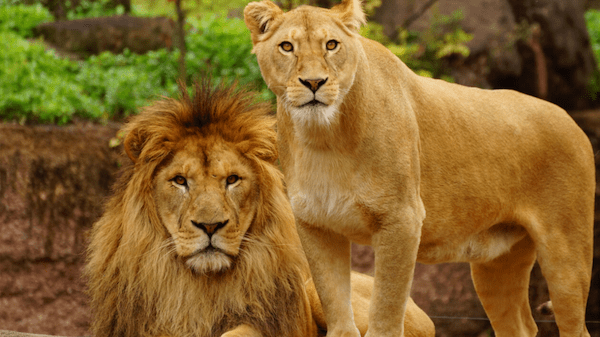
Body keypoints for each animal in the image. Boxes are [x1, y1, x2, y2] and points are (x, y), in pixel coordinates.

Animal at [243, 0, 596, 336]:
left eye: (331, 45)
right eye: (286, 46)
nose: (314, 82)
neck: (322, 138)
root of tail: (571, 120)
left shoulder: (402, 218)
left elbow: (386, 308)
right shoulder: (316, 224)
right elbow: (334, 303)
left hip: (566, 253)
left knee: (575, 326)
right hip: (496, 262)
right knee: (519, 325)